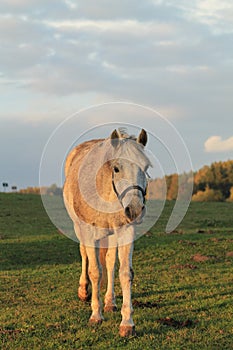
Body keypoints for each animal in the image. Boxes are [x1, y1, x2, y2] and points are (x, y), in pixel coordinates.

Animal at [62, 128, 152, 336]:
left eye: (145, 168)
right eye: (116, 168)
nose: (135, 209)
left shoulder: (126, 230)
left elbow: (125, 273)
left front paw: (127, 323)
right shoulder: (88, 232)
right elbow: (95, 271)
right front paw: (96, 315)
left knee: (110, 262)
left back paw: (110, 301)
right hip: (79, 228)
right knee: (84, 255)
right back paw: (84, 290)